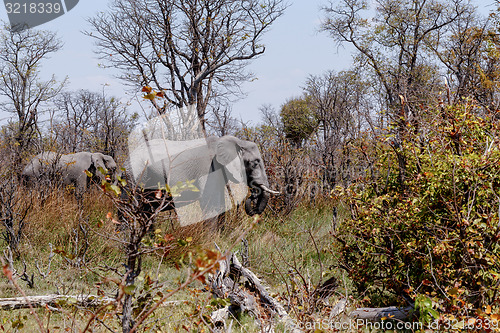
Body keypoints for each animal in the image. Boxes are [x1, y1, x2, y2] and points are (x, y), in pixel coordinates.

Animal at [125, 135, 280, 226]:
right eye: (255, 163)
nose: (253, 194)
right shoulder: (208, 168)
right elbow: (211, 204)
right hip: (134, 176)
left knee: (146, 213)